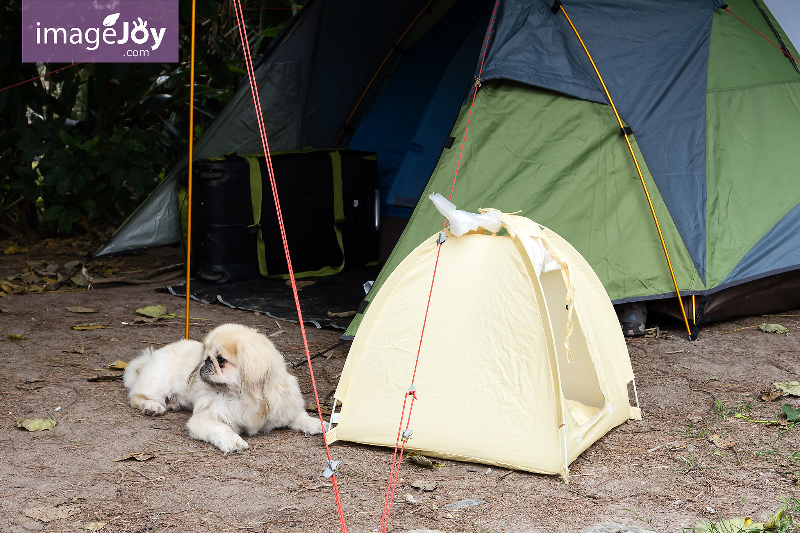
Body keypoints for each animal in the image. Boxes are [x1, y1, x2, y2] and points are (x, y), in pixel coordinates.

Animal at [122, 322, 322, 450]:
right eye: (206, 356)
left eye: (221, 360)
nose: (205, 362)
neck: (243, 397)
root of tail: (150, 357)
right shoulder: (205, 419)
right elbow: (222, 428)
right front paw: (233, 442)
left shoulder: (284, 409)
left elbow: (300, 417)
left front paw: (317, 424)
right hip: (157, 381)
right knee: (138, 396)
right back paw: (152, 406)